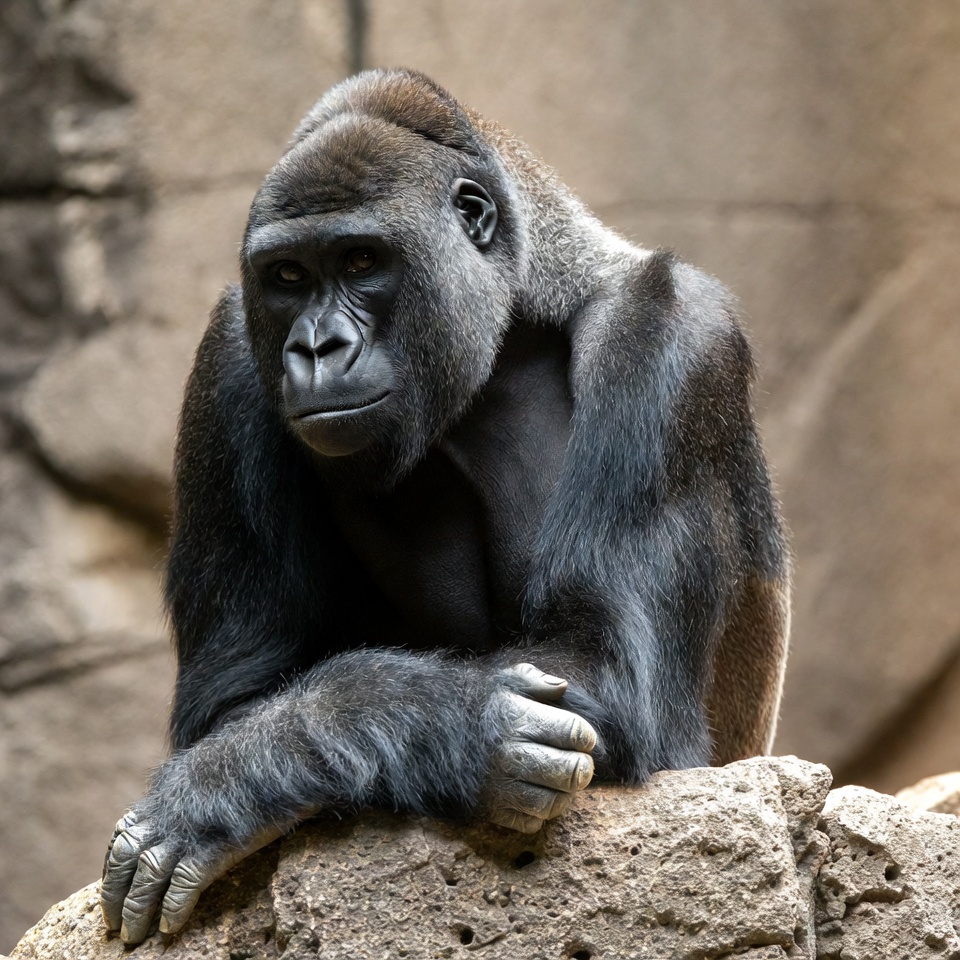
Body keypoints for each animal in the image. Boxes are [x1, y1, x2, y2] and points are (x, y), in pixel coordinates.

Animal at [100, 69, 789, 945]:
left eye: (362, 260)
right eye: (287, 277)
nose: (316, 347)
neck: (521, 309)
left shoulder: (673, 332)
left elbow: (607, 664)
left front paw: (223, 784)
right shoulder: (229, 348)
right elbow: (234, 700)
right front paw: (464, 726)